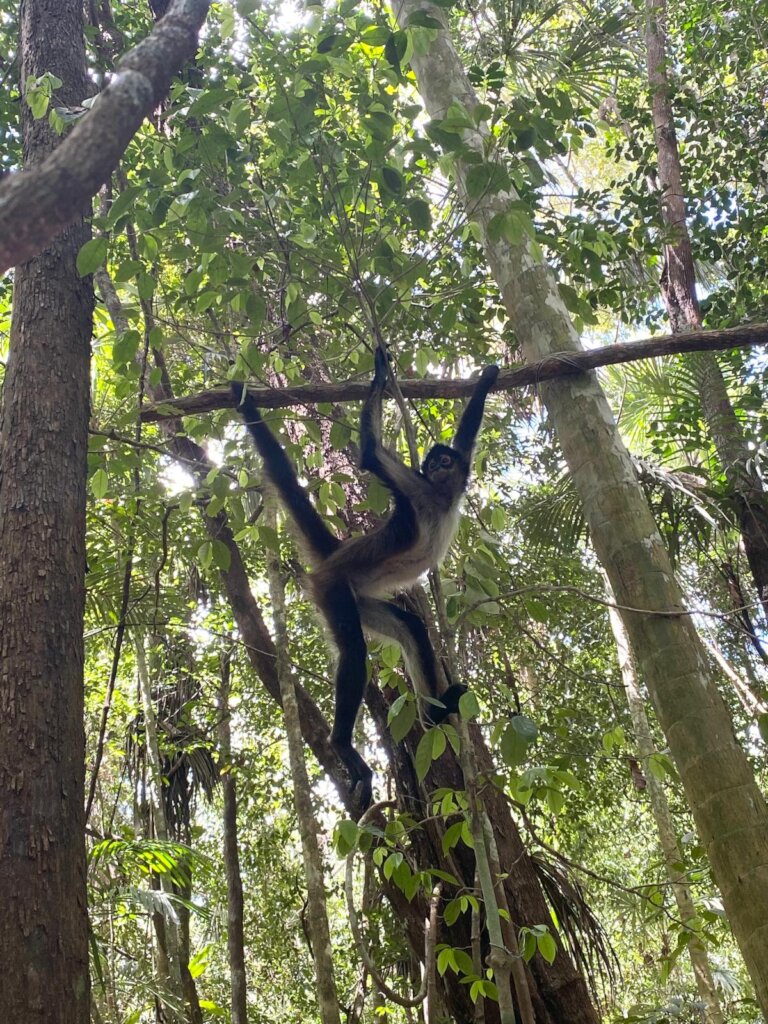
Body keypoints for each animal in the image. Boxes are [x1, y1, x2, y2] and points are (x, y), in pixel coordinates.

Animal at [231, 350, 499, 807]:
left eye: (443, 460)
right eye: (431, 463)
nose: (436, 464)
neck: (442, 500)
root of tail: (335, 556)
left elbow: (466, 434)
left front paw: (486, 380)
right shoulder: (418, 489)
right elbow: (371, 454)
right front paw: (378, 371)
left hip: (358, 600)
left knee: (411, 627)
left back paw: (434, 714)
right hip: (334, 590)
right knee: (355, 650)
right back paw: (341, 745)